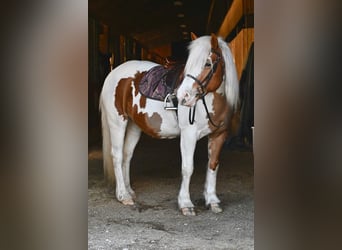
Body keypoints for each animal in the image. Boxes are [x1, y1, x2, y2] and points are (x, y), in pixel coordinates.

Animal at [99, 32, 238, 215]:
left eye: (208, 63)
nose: (182, 96)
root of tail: (113, 73)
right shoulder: (188, 135)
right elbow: (187, 168)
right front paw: (185, 204)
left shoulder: (219, 135)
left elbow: (213, 165)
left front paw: (212, 201)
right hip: (117, 123)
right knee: (117, 155)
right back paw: (123, 195)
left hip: (134, 125)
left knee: (127, 155)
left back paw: (129, 190)